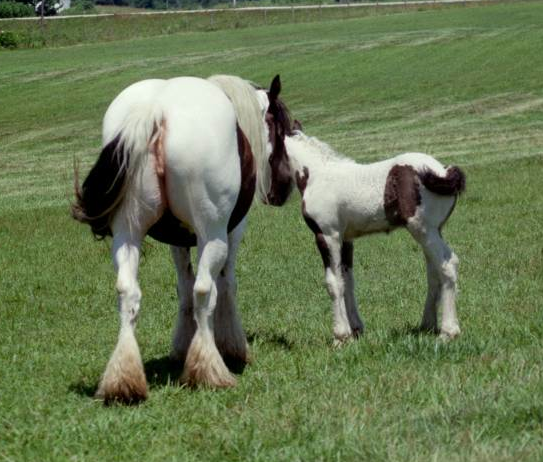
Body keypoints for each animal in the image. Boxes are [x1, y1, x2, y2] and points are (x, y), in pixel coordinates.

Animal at [73, 74, 296, 402]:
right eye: (283, 130)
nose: (285, 187)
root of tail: (156, 108)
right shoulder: (231, 232)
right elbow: (224, 285)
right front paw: (233, 347)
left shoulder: (177, 241)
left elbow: (183, 286)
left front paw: (181, 347)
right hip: (212, 235)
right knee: (204, 290)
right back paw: (208, 370)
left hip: (128, 234)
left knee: (128, 292)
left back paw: (123, 380)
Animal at [282, 123, 466, 346]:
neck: (318, 175)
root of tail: (443, 172)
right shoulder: (346, 239)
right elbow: (347, 281)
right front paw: (356, 330)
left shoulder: (327, 236)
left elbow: (333, 282)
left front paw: (340, 337)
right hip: (434, 231)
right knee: (434, 272)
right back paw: (427, 325)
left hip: (424, 230)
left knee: (448, 264)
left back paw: (448, 332)